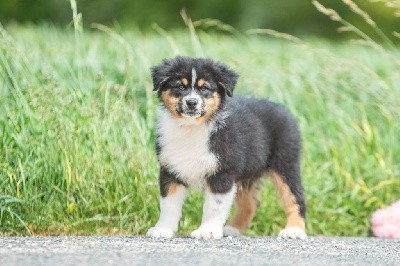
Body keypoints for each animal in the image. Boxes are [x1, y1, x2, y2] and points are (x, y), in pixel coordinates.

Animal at [147, 55, 306, 239]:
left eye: (205, 88)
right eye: (180, 86)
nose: (192, 102)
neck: (192, 128)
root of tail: (280, 108)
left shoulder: (223, 171)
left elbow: (214, 206)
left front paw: (207, 231)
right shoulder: (170, 170)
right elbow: (168, 205)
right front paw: (162, 229)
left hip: (285, 163)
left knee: (296, 197)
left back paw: (294, 230)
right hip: (247, 173)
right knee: (251, 203)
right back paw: (233, 229)